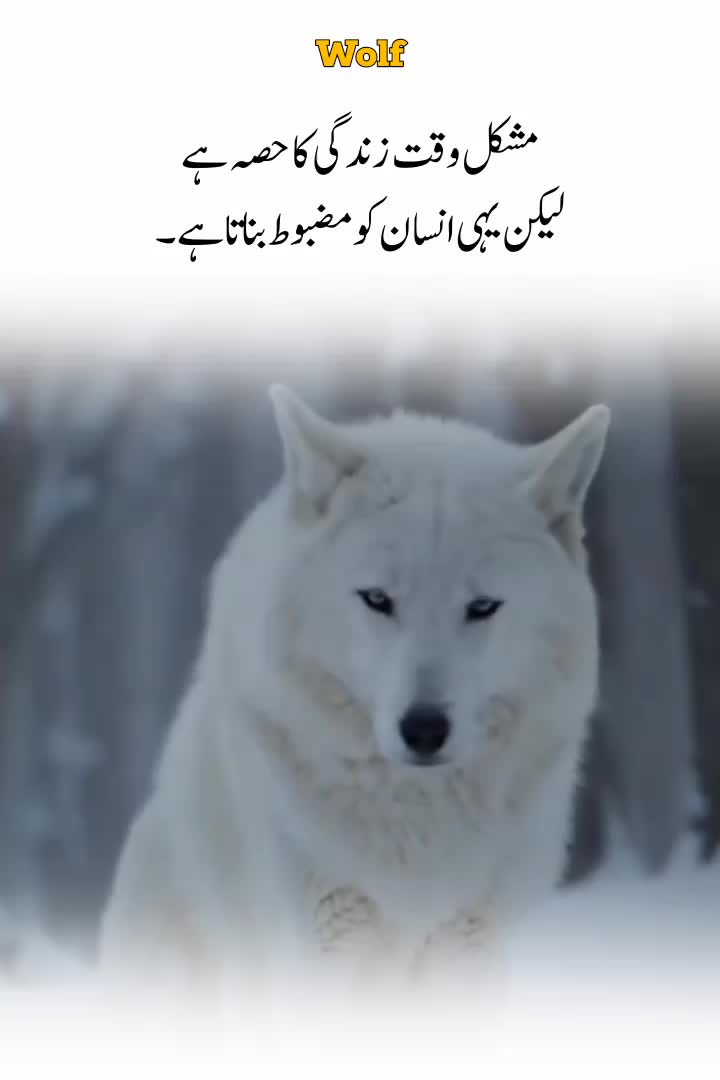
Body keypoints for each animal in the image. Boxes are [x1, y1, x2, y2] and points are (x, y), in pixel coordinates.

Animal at [99, 385, 609, 1001]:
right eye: (377, 599)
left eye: (483, 606)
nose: (424, 729)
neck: (416, 815)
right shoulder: (326, 940)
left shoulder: (466, 941)